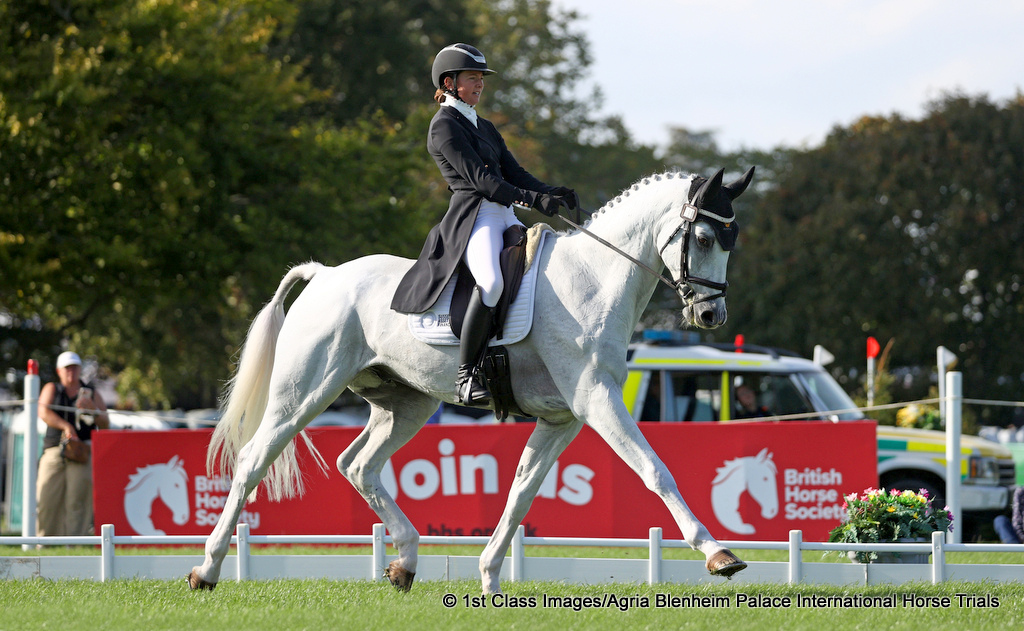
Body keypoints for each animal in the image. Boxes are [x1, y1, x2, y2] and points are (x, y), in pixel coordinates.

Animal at [187, 167, 756, 594]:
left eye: (732, 240)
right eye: (705, 237)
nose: (711, 315)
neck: (593, 281)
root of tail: (325, 274)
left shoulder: (562, 418)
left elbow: (522, 492)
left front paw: (489, 579)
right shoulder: (596, 400)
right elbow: (655, 470)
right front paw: (717, 552)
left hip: (406, 404)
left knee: (359, 464)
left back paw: (405, 562)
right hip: (303, 393)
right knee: (253, 460)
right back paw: (207, 570)